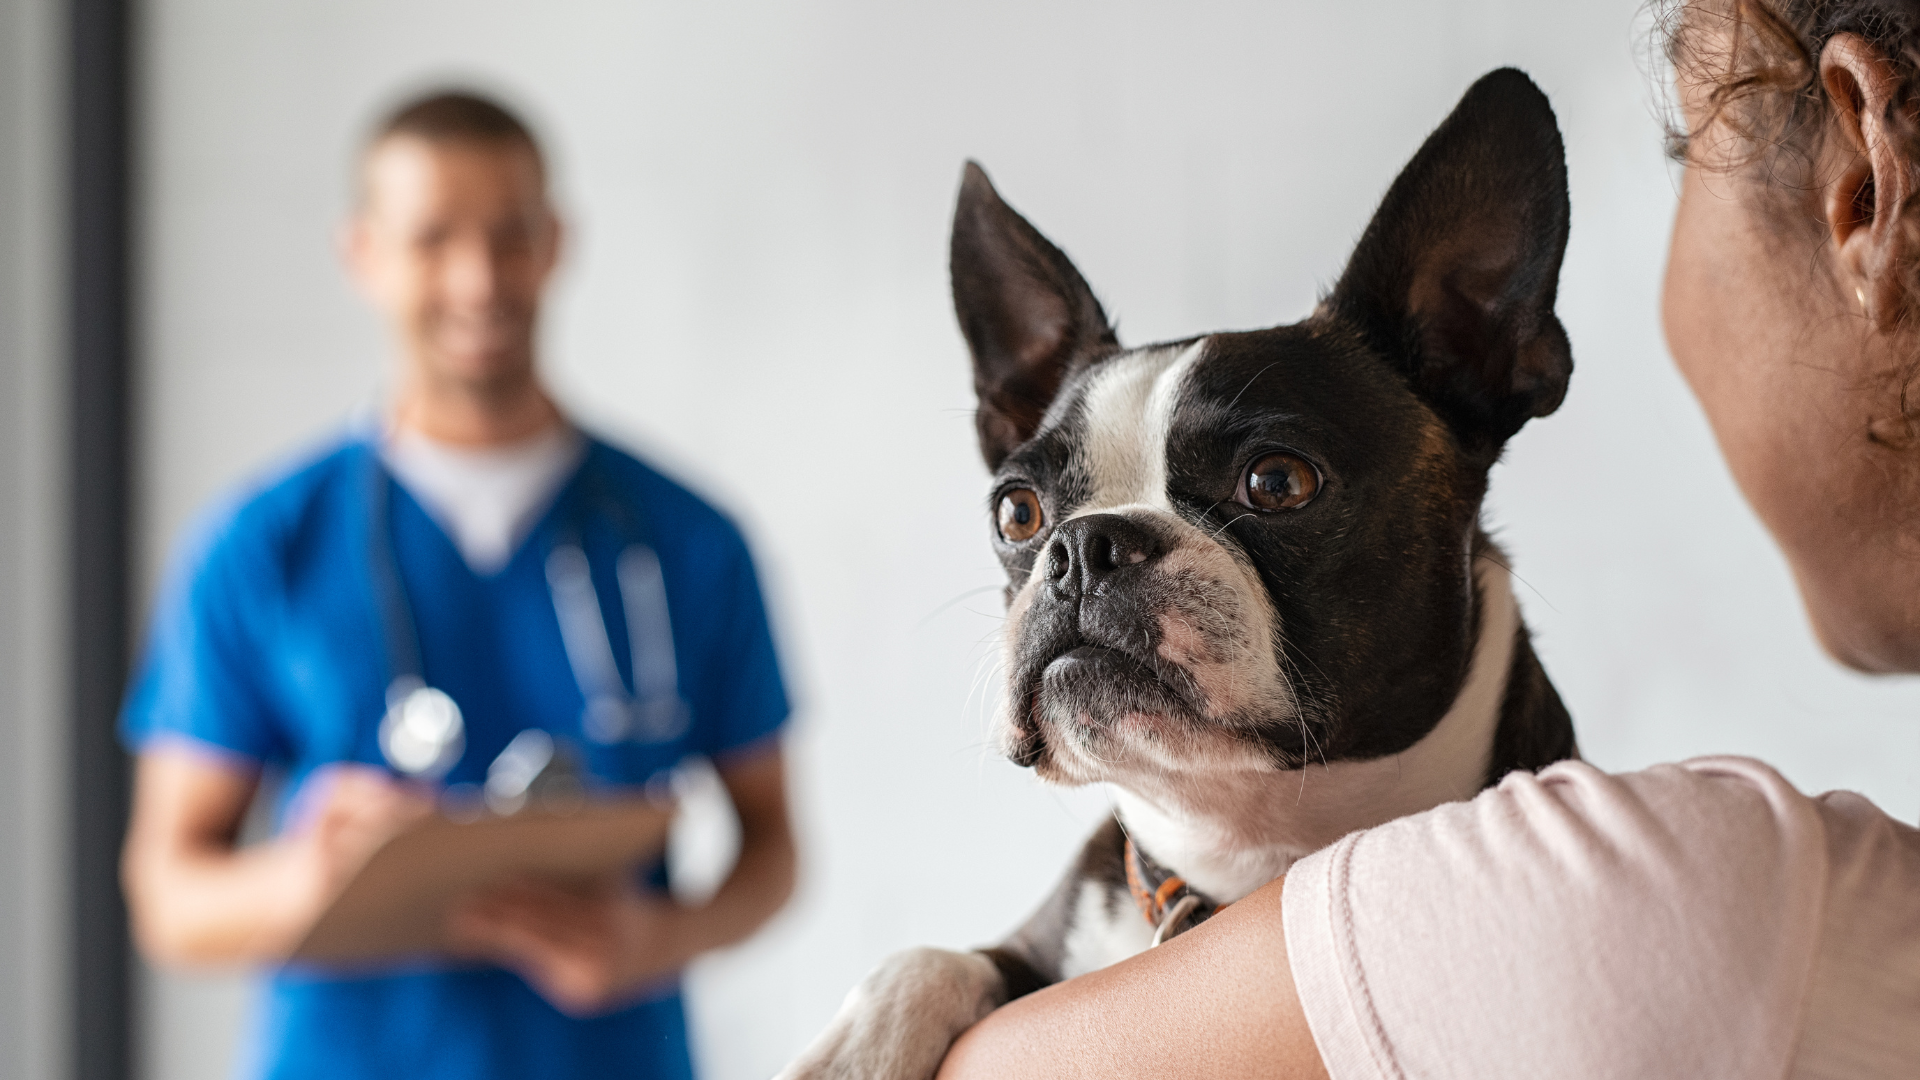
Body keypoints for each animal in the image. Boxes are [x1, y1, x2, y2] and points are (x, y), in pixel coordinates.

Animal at [779, 69, 1574, 1076]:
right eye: (1017, 512)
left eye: (1277, 482)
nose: (1083, 549)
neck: (1235, 855)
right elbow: (934, 956)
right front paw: (856, 1048)